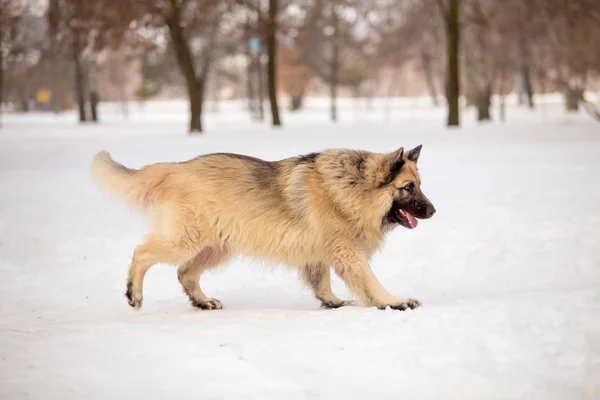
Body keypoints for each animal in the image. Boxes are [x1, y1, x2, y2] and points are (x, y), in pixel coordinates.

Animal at [90, 145, 436, 310]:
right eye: (407, 188)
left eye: (419, 185)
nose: (433, 211)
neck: (353, 187)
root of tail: (175, 168)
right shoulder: (347, 254)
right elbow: (369, 282)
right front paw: (393, 302)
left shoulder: (320, 253)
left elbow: (321, 283)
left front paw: (333, 302)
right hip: (185, 240)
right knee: (142, 252)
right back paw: (134, 293)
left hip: (217, 247)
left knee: (185, 272)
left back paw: (202, 302)